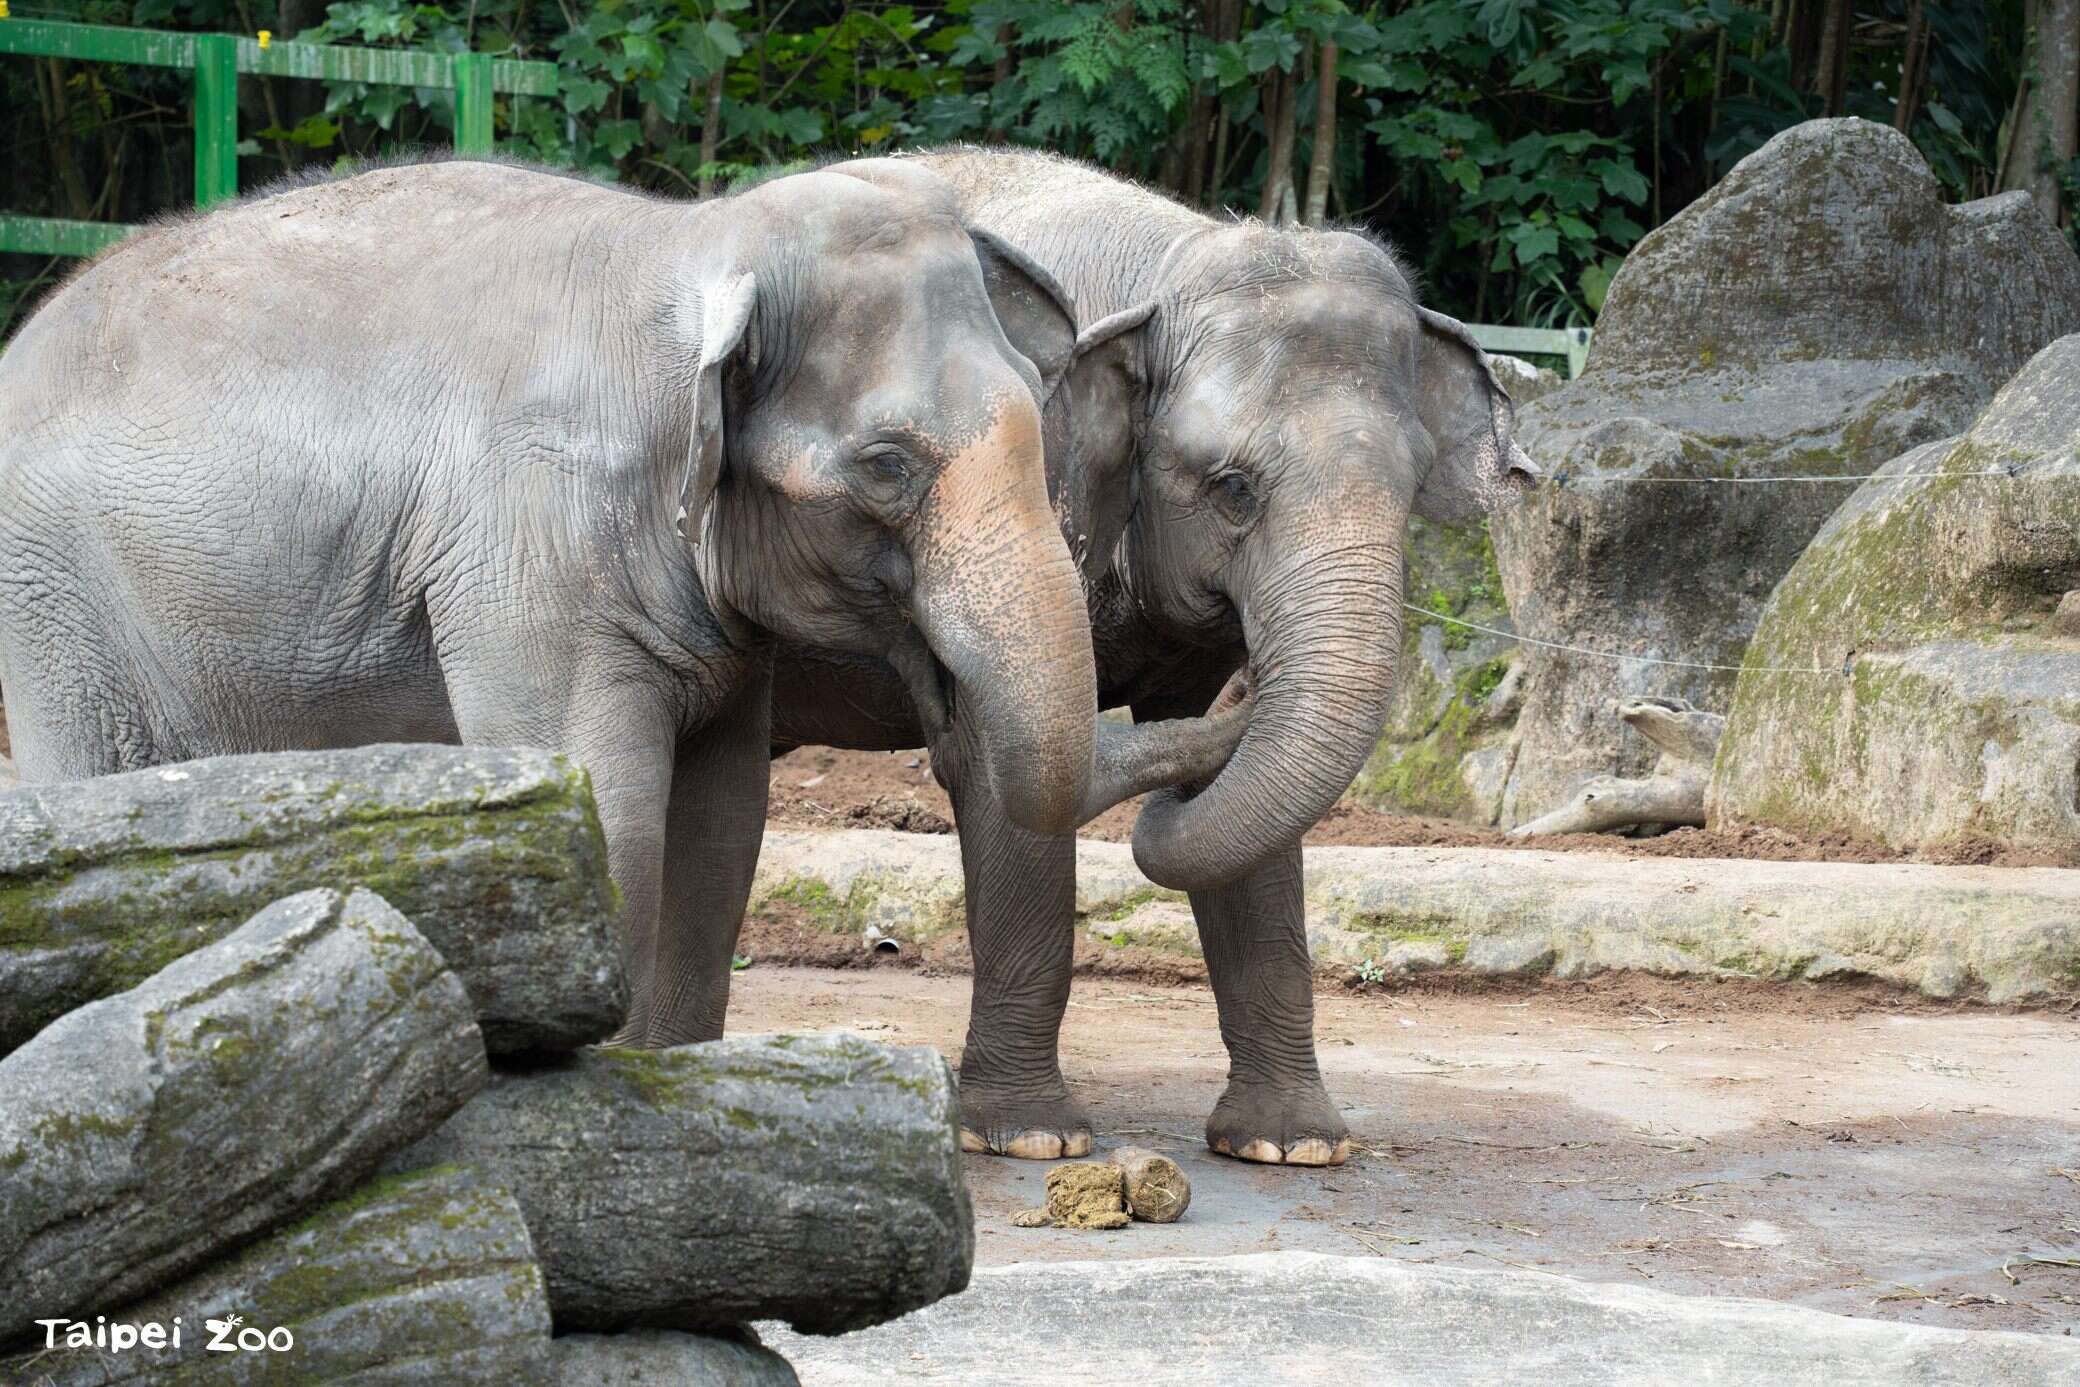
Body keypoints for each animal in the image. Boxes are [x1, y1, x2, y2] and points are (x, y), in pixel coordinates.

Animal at [0, 154, 1245, 1047]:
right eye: (886, 464)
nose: (1229, 696)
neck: (692, 244)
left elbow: (719, 830)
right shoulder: (527, 551)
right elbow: (615, 819)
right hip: (53, 600)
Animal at [771, 147, 1538, 1164]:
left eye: (1412, 487)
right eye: (1232, 488)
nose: (1251, 682)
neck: (1166, 263)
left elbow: (1249, 827)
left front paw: (1291, 1146)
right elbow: (1006, 771)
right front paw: (1031, 1138)